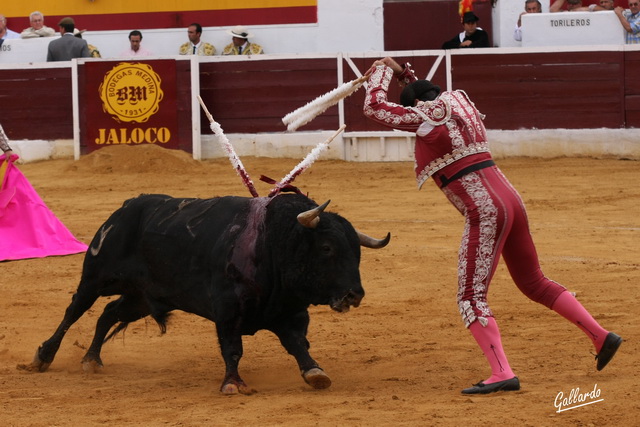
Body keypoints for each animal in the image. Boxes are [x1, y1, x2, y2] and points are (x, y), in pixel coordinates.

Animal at [21, 193, 390, 394]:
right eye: (327, 248)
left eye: (357, 251)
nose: (354, 294)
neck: (273, 243)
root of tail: (126, 207)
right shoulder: (228, 310)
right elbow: (232, 348)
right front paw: (233, 383)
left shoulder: (290, 312)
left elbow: (298, 344)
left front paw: (315, 373)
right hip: (96, 276)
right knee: (74, 311)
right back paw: (43, 357)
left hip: (142, 297)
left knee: (108, 314)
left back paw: (92, 360)